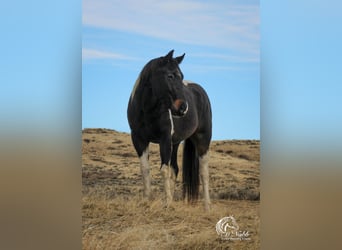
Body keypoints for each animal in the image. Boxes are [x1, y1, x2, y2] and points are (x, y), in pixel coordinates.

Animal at [127, 49, 212, 210]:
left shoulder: (164, 139)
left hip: (203, 139)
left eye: (181, 76)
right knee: (175, 169)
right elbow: (145, 169)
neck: (147, 110)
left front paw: (166, 203)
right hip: (176, 142)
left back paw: (207, 207)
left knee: (203, 172)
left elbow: (164, 170)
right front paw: (146, 200)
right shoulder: (138, 139)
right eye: (170, 76)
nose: (183, 108)